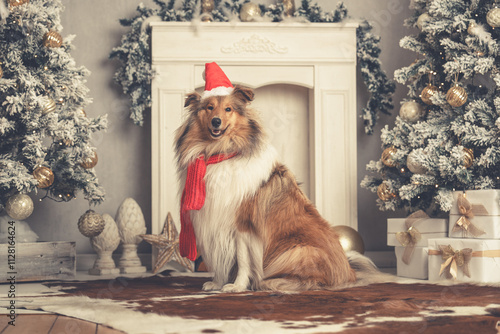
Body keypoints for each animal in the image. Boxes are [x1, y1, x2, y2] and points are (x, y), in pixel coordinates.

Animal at [174, 62, 380, 292]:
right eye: (209, 108)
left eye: (228, 109)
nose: (216, 122)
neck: (219, 153)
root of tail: (349, 272)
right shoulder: (213, 223)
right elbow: (219, 259)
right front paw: (218, 283)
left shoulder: (242, 225)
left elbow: (242, 260)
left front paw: (236, 286)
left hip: (297, 250)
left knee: (311, 280)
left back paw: (273, 282)